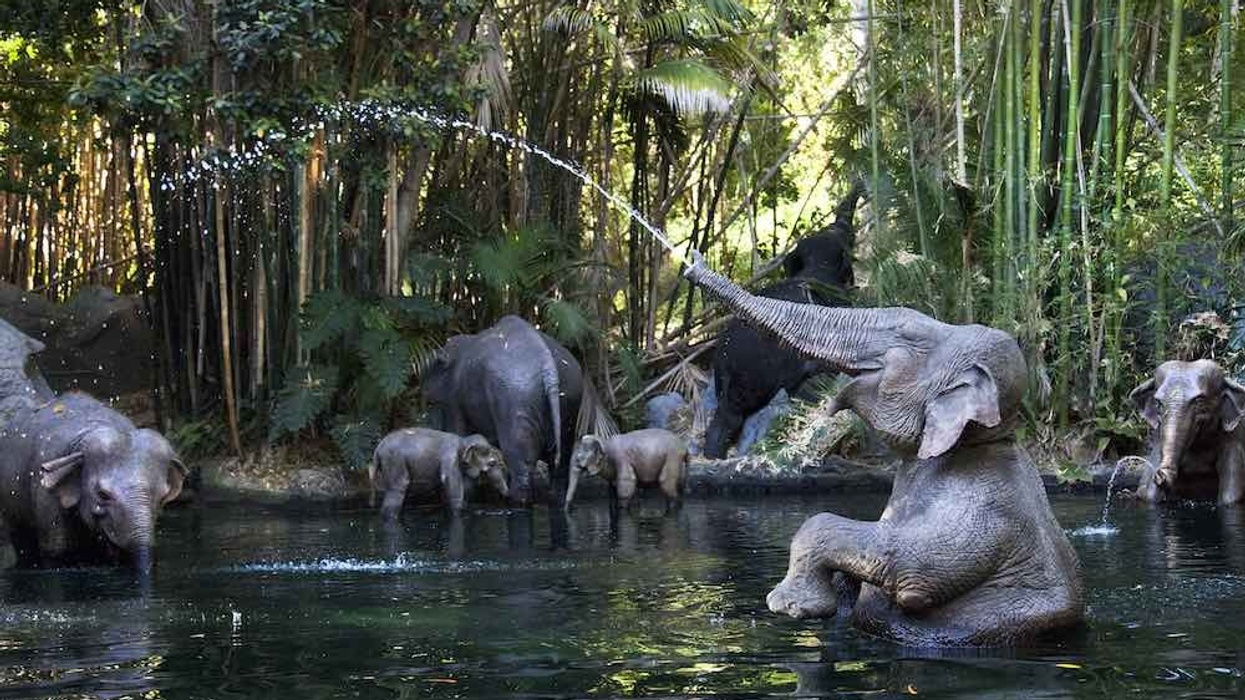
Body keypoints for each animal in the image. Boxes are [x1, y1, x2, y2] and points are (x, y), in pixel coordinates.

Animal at [369, 428, 509, 518]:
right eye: (492, 463)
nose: (506, 495)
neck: (463, 440)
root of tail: (378, 448)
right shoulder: (450, 458)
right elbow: (450, 482)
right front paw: (458, 513)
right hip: (394, 460)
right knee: (399, 487)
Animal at [423, 315, 612, 506]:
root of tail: (548, 365)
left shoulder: (454, 401)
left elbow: (458, 432)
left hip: (516, 398)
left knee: (521, 463)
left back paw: (514, 501)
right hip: (570, 393)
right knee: (562, 461)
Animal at [683, 252, 1084, 646]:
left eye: (906, 336)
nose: (692, 263)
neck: (984, 439)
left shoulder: (983, 509)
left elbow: (912, 574)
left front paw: (791, 605)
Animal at [1128, 360, 1245, 505]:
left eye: (1199, 400)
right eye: (1158, 402)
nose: (1160, 475)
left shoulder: (1234, 439)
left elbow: (1231, 498)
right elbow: (1148, 495)